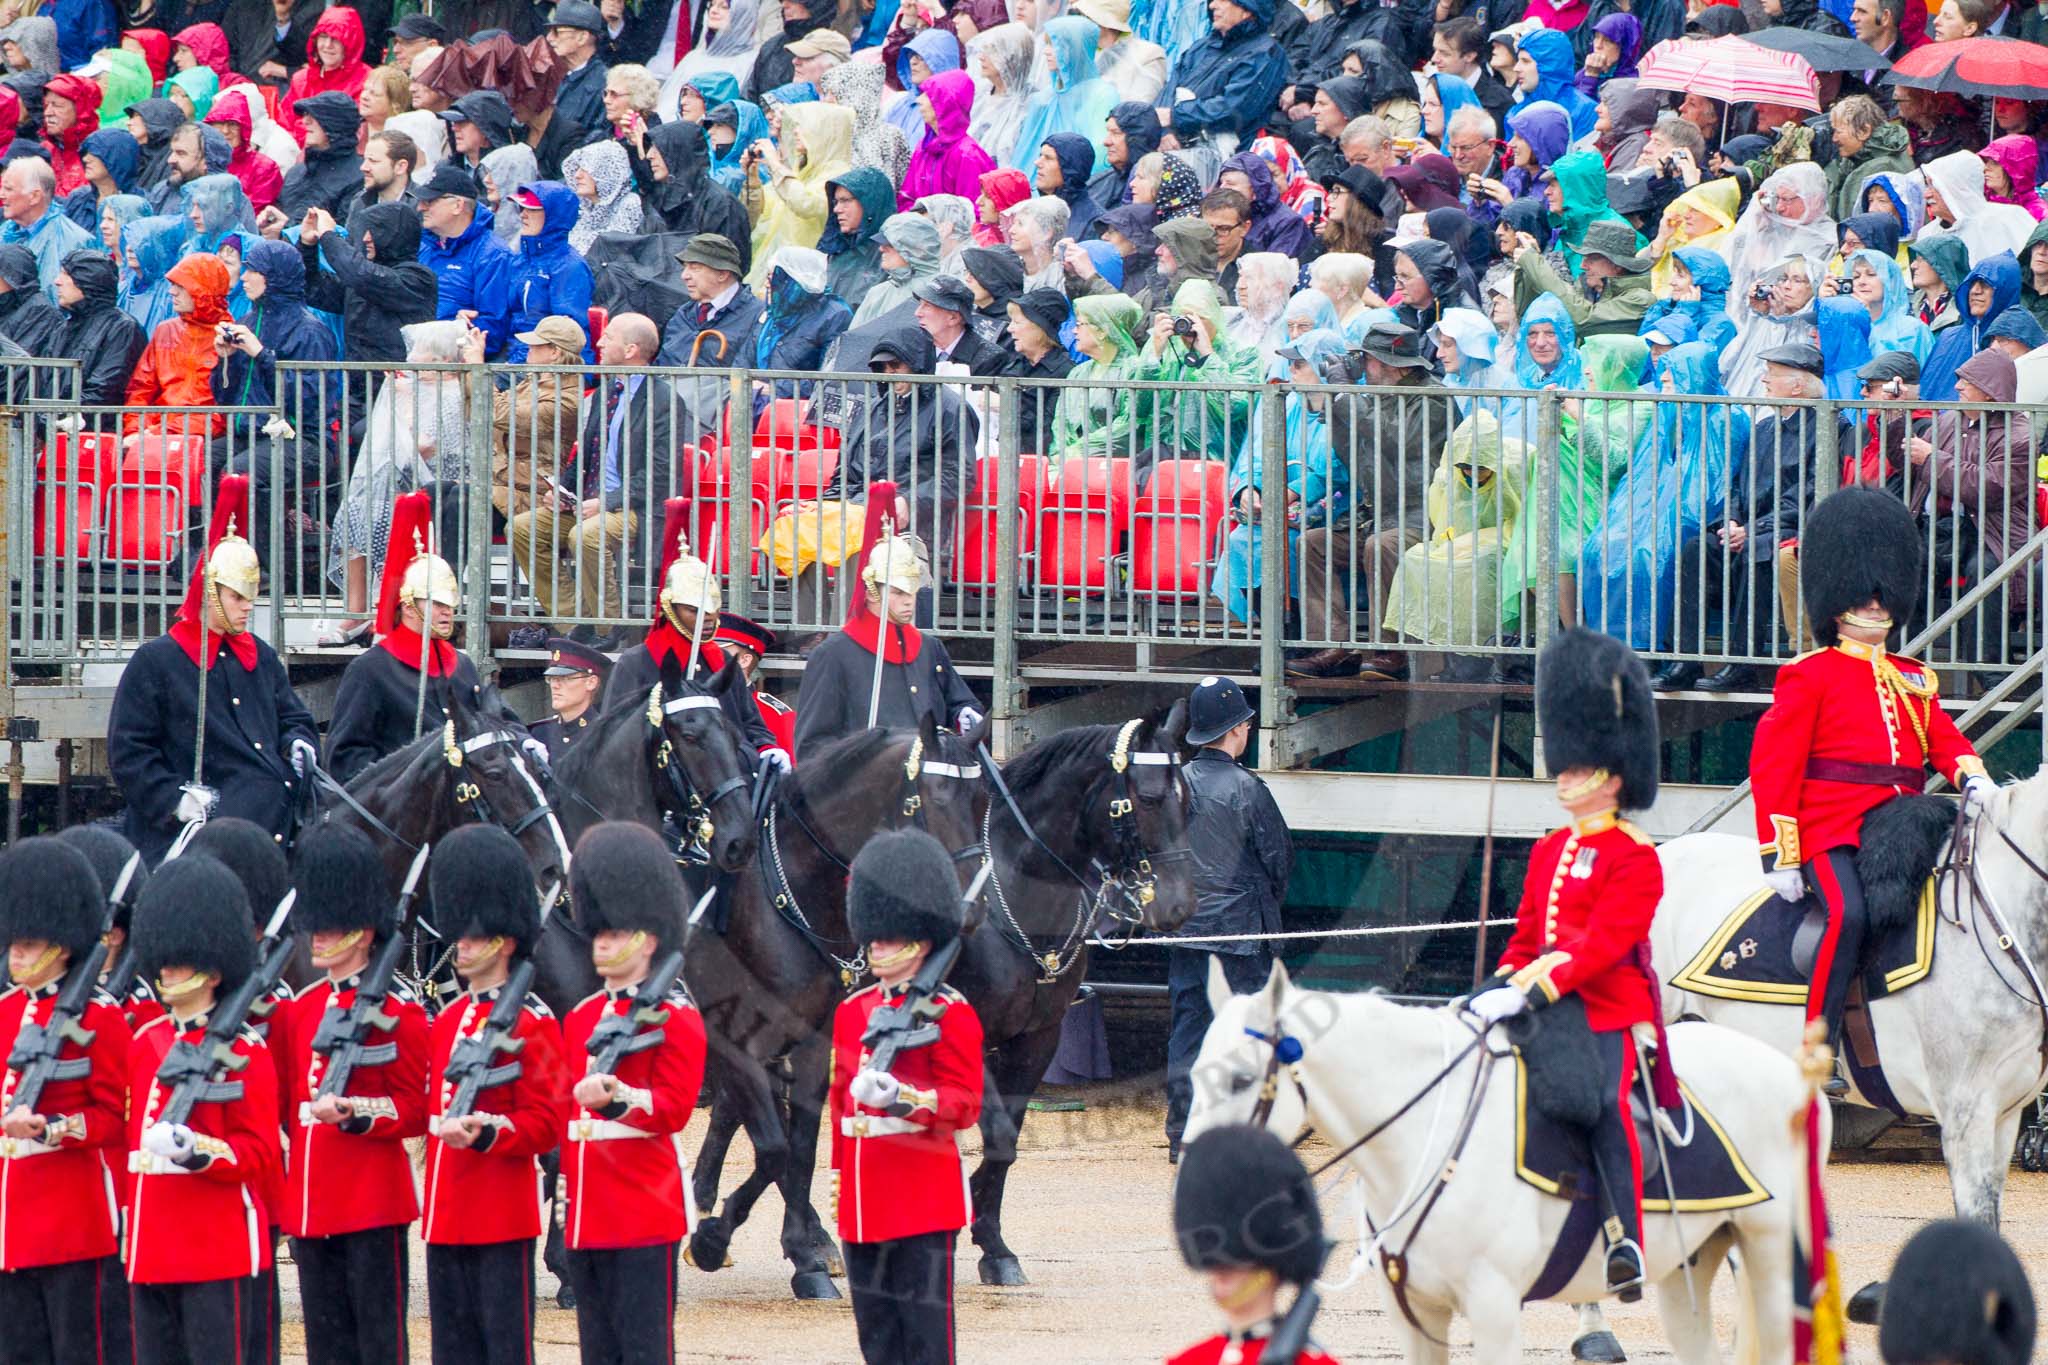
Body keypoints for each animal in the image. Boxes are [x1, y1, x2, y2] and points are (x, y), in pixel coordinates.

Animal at [675, 716, 987, 1301]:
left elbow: (796, 1147)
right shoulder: (737, 1038)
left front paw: (805, 1255)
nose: (972, 909)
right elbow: (774, 1146)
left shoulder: (812, 1041)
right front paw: (714, 1239)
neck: (788, 893)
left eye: (982, 802)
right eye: (934, 798)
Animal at [954, 712, 1204, 1285]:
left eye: (1188, 799)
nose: (1179, 906)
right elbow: (993, 1128)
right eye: (1148, 798)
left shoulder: (1036, 1037)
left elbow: (1006, 1139)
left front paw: (993, 1244)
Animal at [1187, 961, 1810, 1365]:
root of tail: (1789, 1072)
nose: (1195, 1195)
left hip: (1772, 1257)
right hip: (1691, 1265)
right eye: (1195, 1074)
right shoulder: (1415, 1315)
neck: (1424, 1135)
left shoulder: (1495, 1311)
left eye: (1241, 1079)